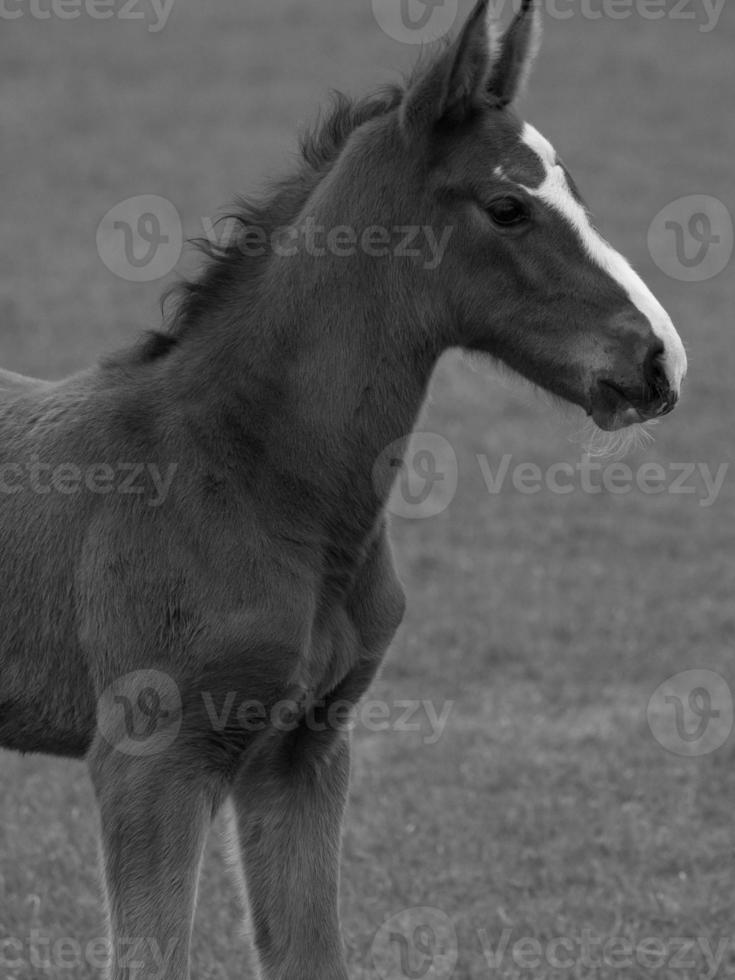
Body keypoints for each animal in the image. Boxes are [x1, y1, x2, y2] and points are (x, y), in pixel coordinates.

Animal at [0, 1, 688, 980]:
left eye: (576, 193)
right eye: (507, 206)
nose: (659, 360)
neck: (245, 477)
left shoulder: (302, 751)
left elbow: (311, 950)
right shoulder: (148, 756)